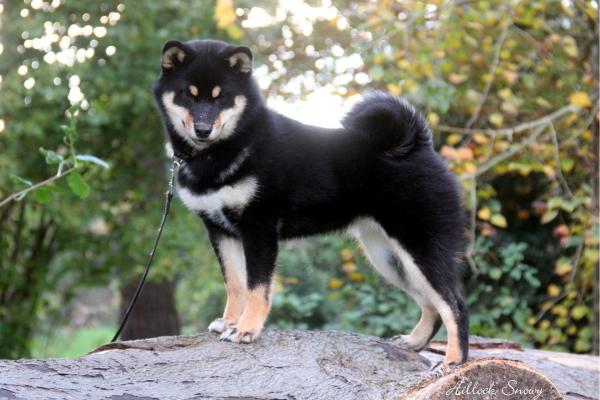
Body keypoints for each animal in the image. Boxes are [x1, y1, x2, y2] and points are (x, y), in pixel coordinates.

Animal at [151, 39, 468, 364]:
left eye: (221, 97)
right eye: (188, 94)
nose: (203, 130)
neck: (224, 150)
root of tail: (420, 144)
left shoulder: (259, 228)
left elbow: (256, 288)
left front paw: (246, 329)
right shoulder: (220, 230)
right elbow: (236, 284)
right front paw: (229, 322)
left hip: (420, 247)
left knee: (454, 304)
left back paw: (454, 360)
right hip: (388, 257)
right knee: (430, 304)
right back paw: (413, 341)